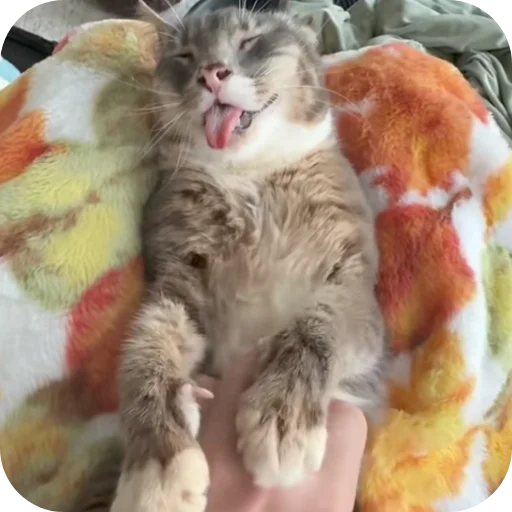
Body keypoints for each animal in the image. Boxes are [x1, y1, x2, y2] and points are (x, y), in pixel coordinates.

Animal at [107, 2, 387, 511]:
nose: (212, 72)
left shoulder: (354, 286)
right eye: (184, 54)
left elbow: (317, 326)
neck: (251, 175)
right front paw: (157, 468)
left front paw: (283, 418)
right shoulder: (175, 282)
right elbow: (143, 353)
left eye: (249, 41)